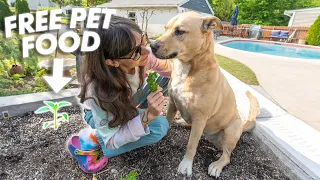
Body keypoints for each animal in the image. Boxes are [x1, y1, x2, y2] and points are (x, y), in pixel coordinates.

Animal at [151, 11, 260, 178]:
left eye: (179, 31)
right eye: (166, 28)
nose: (151, 46)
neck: (188, 70)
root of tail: (242, 126)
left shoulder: (200, 118)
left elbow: (191, 145)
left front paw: (186, 165)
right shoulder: (172, 104)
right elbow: (167, 121)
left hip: (230, 131)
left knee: (227, 156)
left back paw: (217, 165)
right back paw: (182, 122)